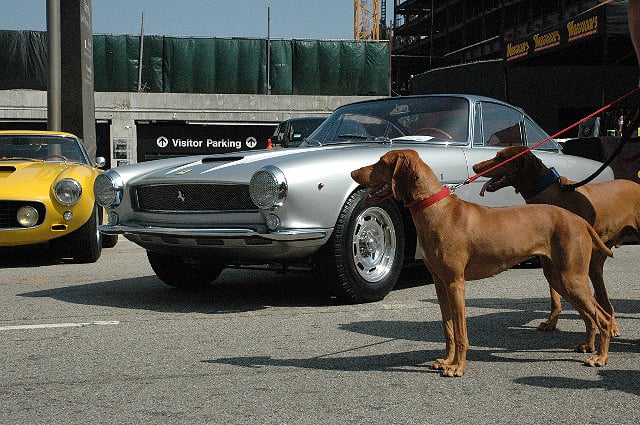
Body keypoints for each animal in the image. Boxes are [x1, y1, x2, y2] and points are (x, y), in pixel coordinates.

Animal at [352, 150, 612, 378]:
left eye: (381, 162)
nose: (353, 172)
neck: (436, 209)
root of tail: (578, 220)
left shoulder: (456, 283)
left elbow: (460, 332)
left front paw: (458, 367)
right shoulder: (440, 284)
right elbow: (448, 329)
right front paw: (446, 361)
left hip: (571, 278)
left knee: (604, 316)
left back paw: (601, 357)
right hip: (559, 279)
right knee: (590, 315)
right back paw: (588, 346)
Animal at [470, 146, 640, 342]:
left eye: (502, 157)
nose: (474, 167)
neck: (552, 194)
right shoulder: (550, 263)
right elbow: (555, 296)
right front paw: (552, 322)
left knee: (603, 297)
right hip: (597, 257)